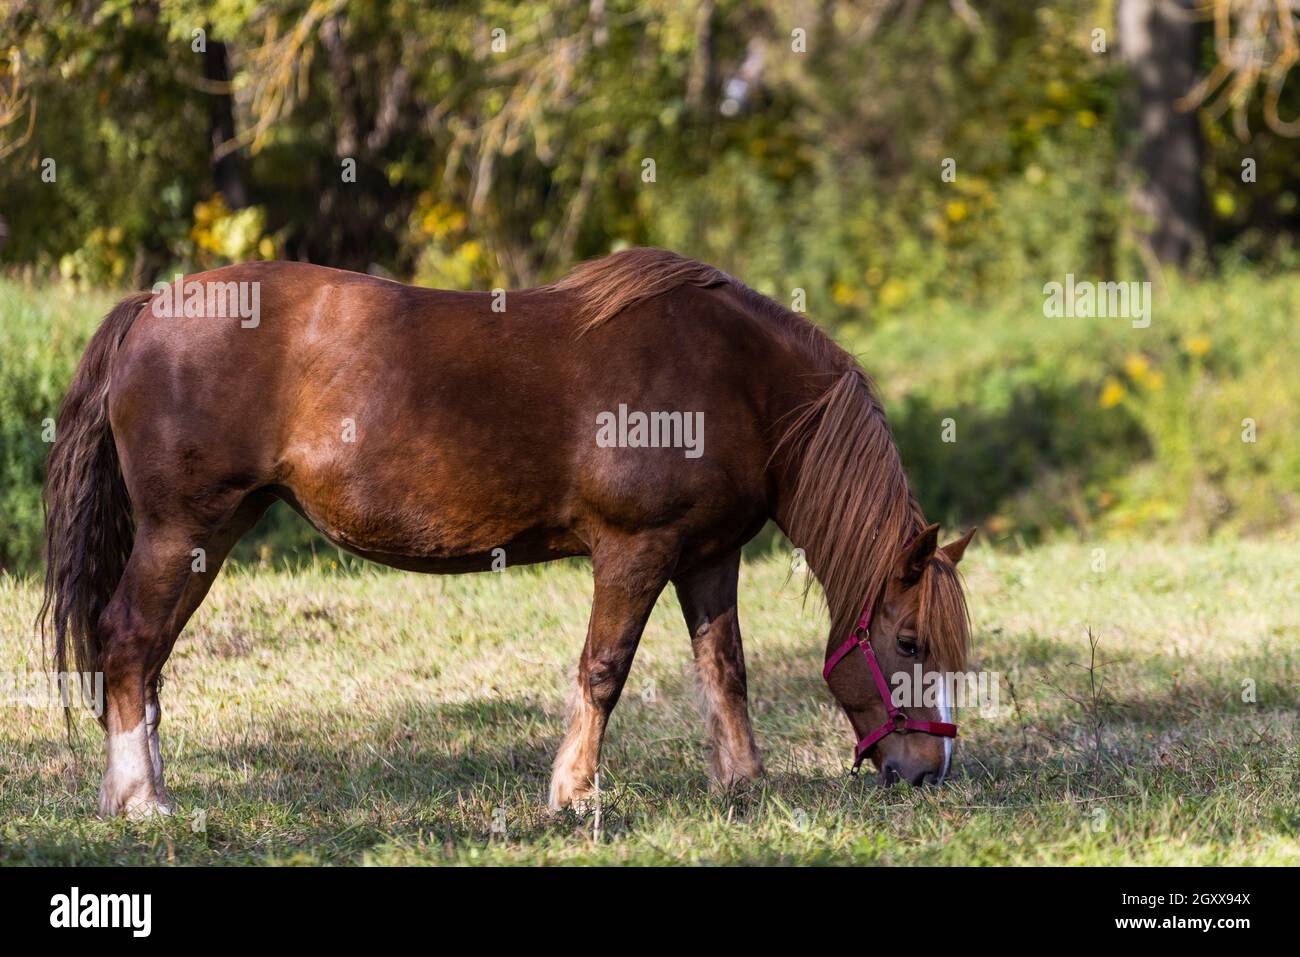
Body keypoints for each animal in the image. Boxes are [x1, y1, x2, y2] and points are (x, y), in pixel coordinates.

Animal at [39, 247, 974, 818]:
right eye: (911, 641)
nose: (929, 774)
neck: (732, 378)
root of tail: (151, 308)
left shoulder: (707, 556)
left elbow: (726, 671)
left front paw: (742, 782)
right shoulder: (635, 549)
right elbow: (604, 670)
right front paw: (572, 792)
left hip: (211, 532)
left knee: (147, 656)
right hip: (182, 530)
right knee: (129, 640)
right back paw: (142, 799)